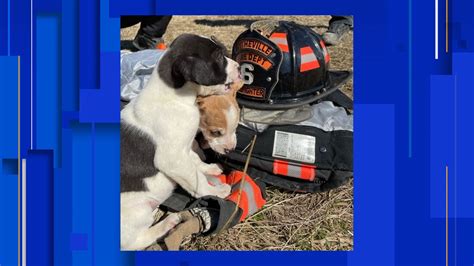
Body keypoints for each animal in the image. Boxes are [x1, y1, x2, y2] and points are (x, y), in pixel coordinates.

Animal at [120, 33, 243, 249]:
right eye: (219, 57)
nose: (239, 67)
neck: (174, 97)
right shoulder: (171, 158)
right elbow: (196, 180)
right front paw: (216, 191)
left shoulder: (184, 149)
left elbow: (196, 163)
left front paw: (210, 169)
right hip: (137, 210)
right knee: (133, 242)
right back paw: (168, 223)